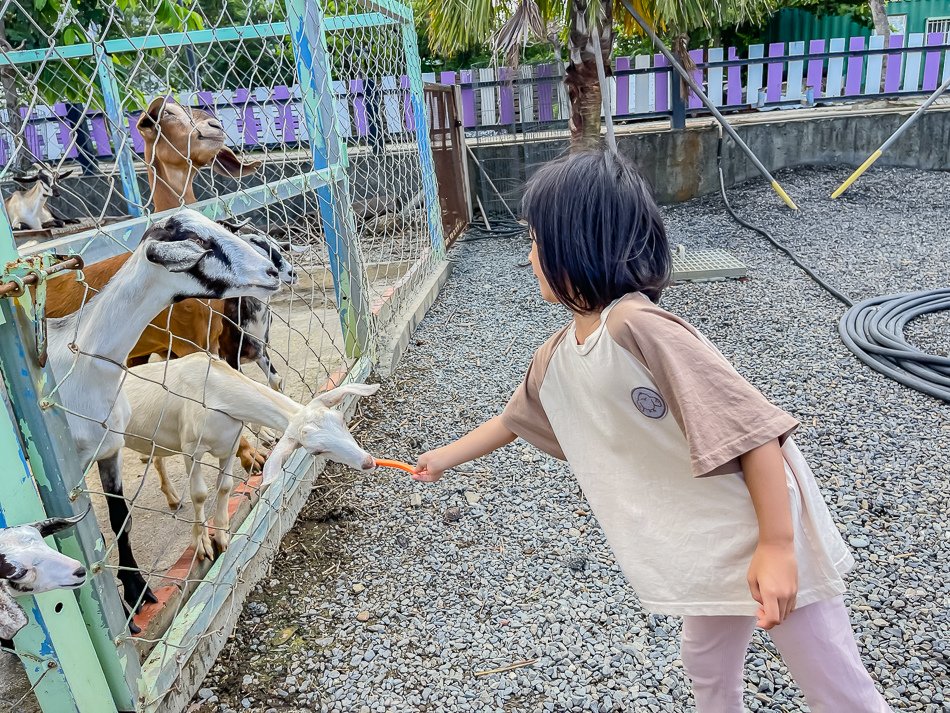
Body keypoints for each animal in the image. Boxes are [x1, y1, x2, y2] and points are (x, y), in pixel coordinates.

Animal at [48, 206, 278, 612]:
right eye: (200, 241)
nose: (274, 272)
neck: (76, 359)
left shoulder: (108, 447)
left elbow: (121, 518)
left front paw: (137, 590)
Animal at [123, 354, 380, 560]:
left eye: (341, 419)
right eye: (316, 451)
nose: (368, 462)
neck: (214, 391)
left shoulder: (230, 443)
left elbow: (225, 486)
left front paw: (223, 537)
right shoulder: (191, 447)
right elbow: (199, 494)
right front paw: (202, 544)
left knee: (158, 456)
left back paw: (172, 498)